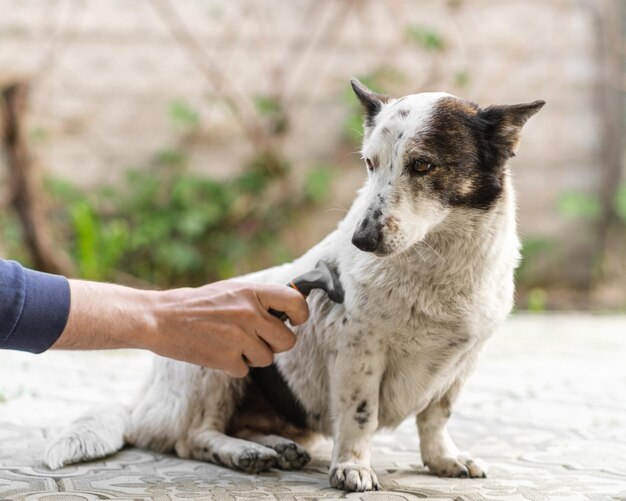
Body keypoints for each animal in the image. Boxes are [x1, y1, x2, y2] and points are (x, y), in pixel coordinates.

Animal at [44, 80, 540, 490]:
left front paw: (442, 461)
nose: (362, 240)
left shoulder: (462, 363)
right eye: (370, 163)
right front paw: (353, 467)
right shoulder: (359, 352)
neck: (437, 262)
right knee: (195, 437)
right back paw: (244, 453)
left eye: (422, 164)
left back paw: (276, 446)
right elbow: (360, 417)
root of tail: (141, 405)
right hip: (217, 366)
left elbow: (436, 419)